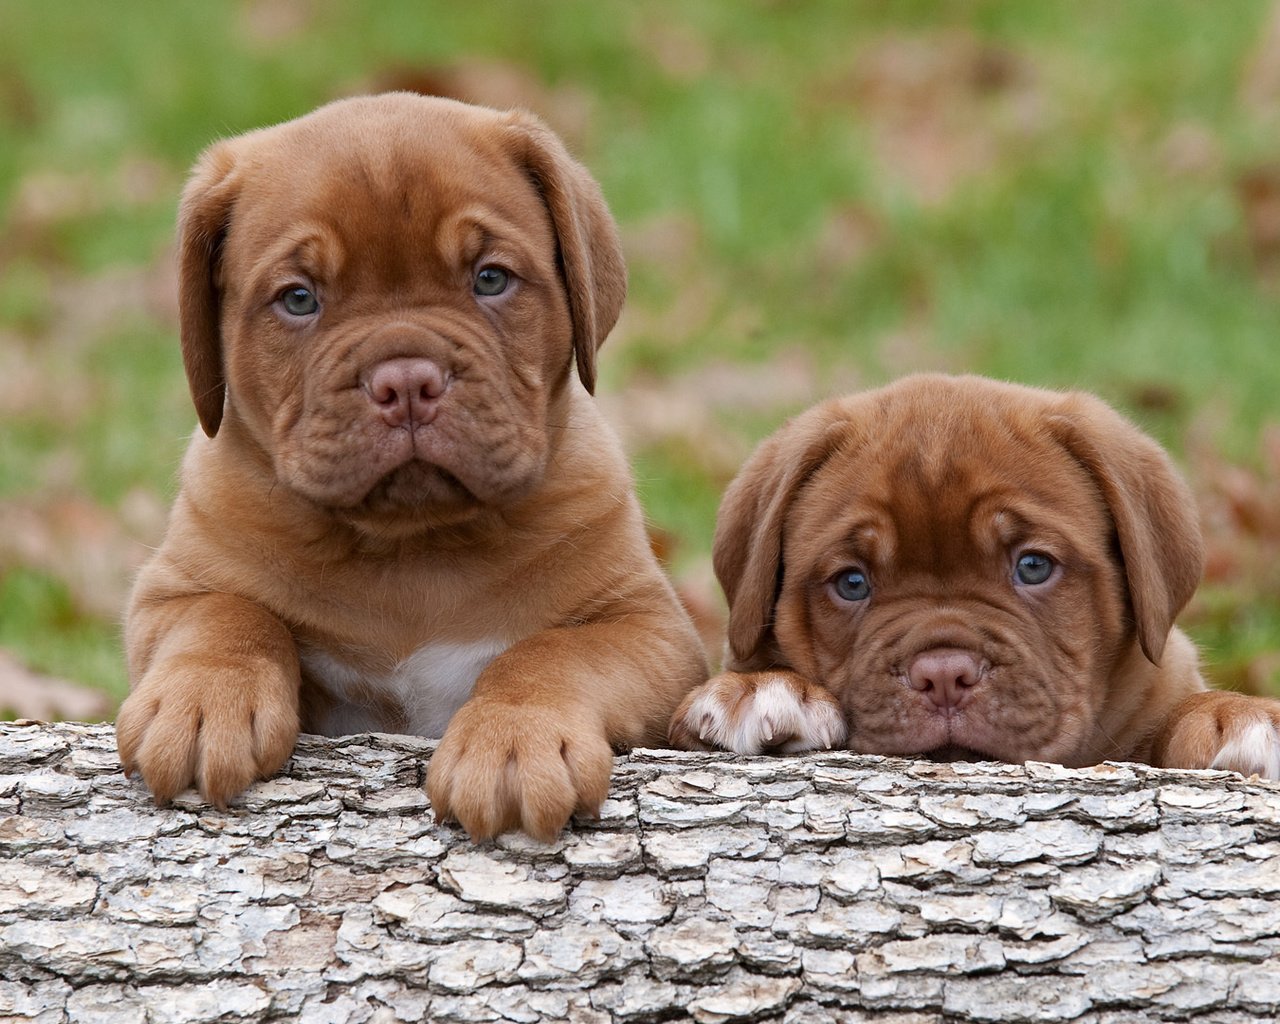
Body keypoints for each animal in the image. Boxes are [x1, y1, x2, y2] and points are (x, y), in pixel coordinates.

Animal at [120, 94, 711, 839]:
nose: (405, 381)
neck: (413, 546)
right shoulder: (172, 592)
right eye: (298, 298)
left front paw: (514, 740)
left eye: (490, 279)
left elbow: (551, 654)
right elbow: (227, 615)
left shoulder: (648, 628)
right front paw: (202, 702)